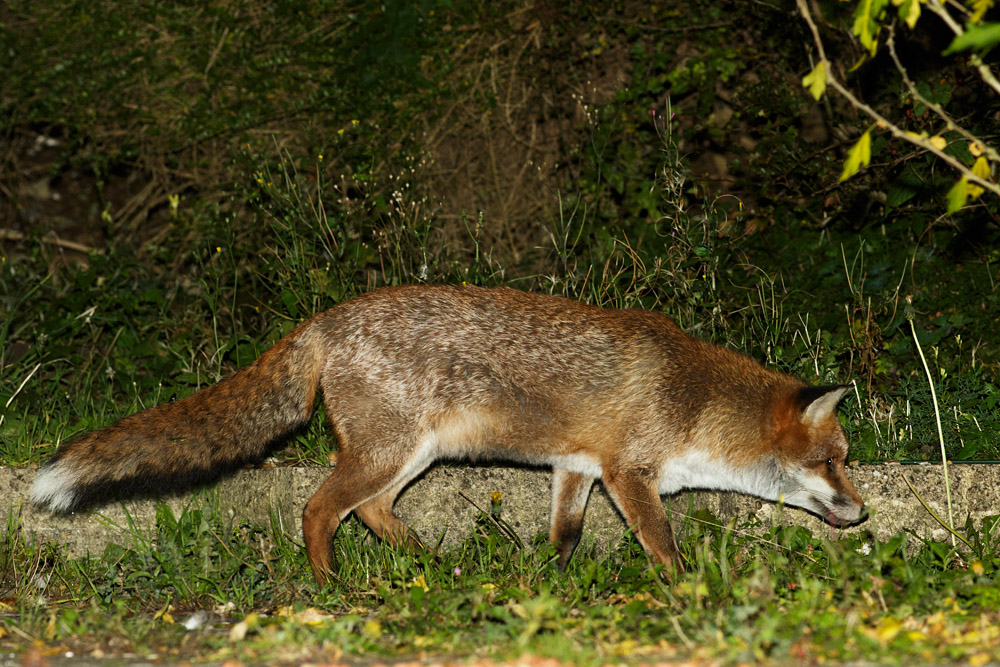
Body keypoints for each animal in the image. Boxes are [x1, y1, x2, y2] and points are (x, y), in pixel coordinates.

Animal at [31, 284, 867, 586]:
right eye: (834, 461)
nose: (863, 511)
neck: (691, 397)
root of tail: (324, 318)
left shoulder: (576, 467)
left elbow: (564, 538)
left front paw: (549, 586)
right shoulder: (629, 472)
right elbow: (662, 542)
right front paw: (688, 589)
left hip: (410, 456)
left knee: (368, 511)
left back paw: (430, 565)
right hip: (390, 452)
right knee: (318, 509)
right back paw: (332, 587)